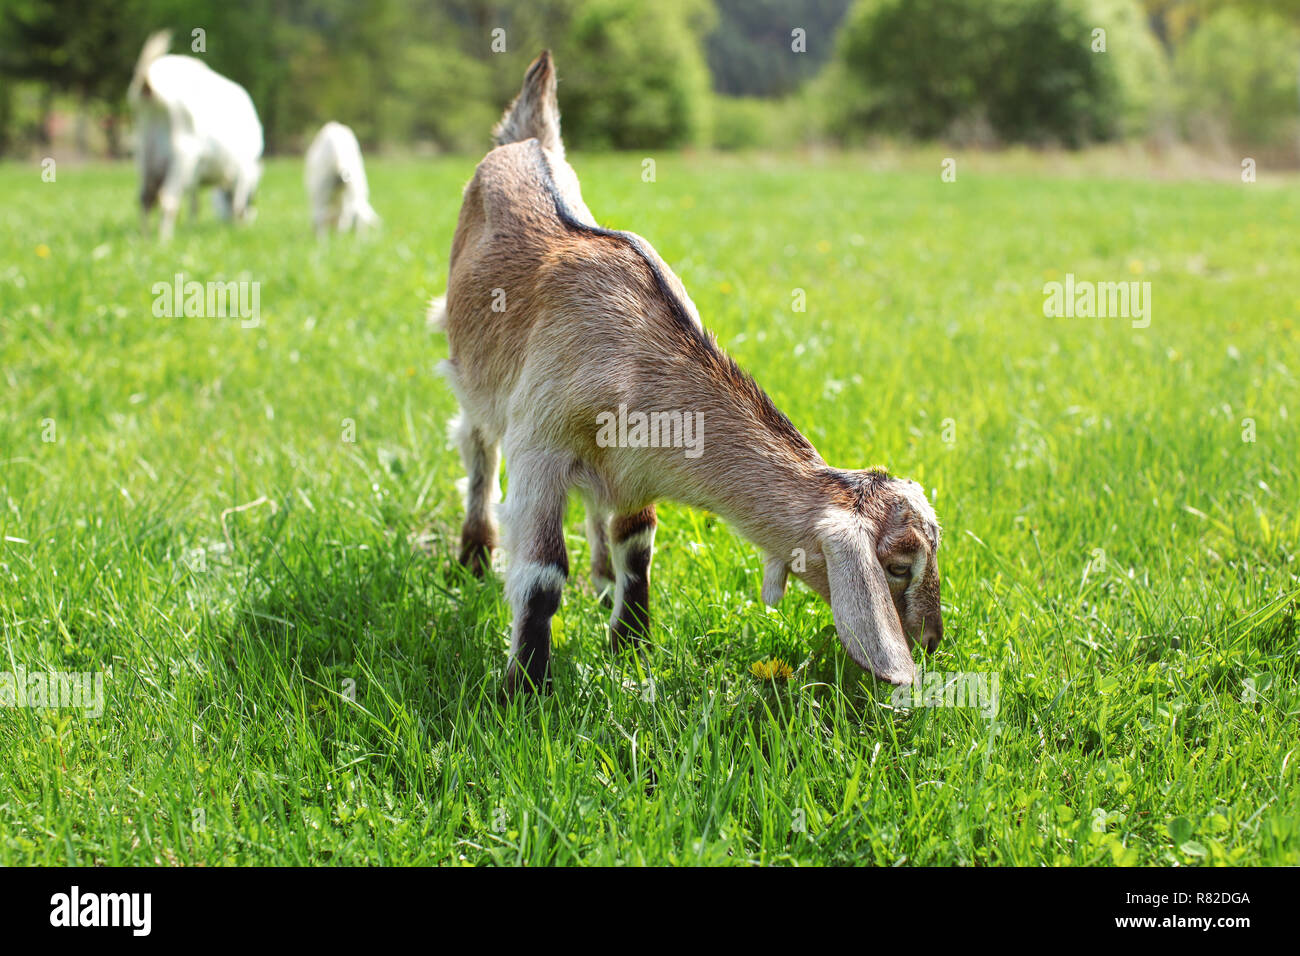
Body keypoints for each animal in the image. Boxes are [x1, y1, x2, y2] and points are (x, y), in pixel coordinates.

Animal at [128, 31, 264, 240]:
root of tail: (149, 82)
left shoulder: (196, 175)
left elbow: (194, 203)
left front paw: (192, 227)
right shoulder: (243, 168)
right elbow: (237, 204)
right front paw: (238, 228)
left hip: (144, 153)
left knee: (145, 199)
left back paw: (146, 238)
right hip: (182, 154)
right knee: (168, 200)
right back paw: (164, 240)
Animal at [435, 51, 943, 694]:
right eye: (899, 564)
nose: (932, 640)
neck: (633, 357)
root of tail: (526, 140)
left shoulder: (635, 470)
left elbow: (637, 548)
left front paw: (630, 645)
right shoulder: (540, 450)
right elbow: (544, 573)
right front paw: (525, 688)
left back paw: (600, 583)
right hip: (469, 369)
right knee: (477, 448)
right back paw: (475, 557)